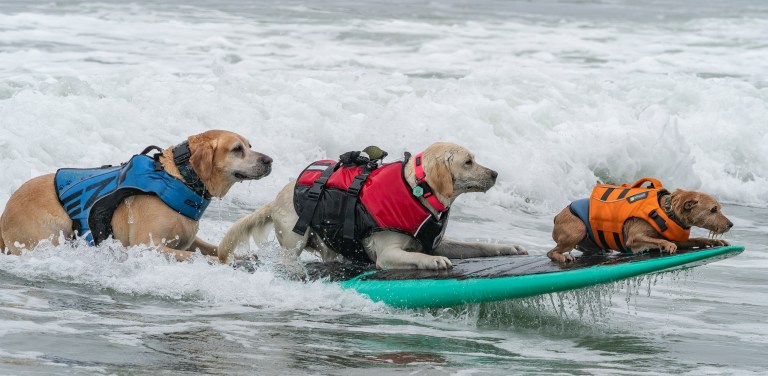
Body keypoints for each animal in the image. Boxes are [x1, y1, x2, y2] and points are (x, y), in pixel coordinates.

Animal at [0, 129, 272, 262]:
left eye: (250, 145)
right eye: (236, 149)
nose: (269, 160)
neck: (180, 178)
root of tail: (4, 213)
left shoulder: (188, 238)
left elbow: (212, 249)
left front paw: (240, 256)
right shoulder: (148, 247)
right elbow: (199, 258)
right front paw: (232, 263)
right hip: (55, 232)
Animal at [216, 142, 528, 270]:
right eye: (468, 162)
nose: (495, 174)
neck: (418, 190)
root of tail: (277, 197)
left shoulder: (439, 242)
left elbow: (479, 245)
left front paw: (509, 248)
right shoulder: (389, 254)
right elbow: (419, 256)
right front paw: (433, 262)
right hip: (295, 238)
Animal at [544, 180, 732, 262]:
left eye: (719, 208)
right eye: (713, 210)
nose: (730, 224)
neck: (666, 211)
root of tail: (557, 215)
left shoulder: (680, 239)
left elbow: (697, 239)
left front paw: (714, 241)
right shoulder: (634, 238)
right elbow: (660, 240)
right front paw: (667, 245)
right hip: (578, 229)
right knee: (551, 252)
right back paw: (562, 257)